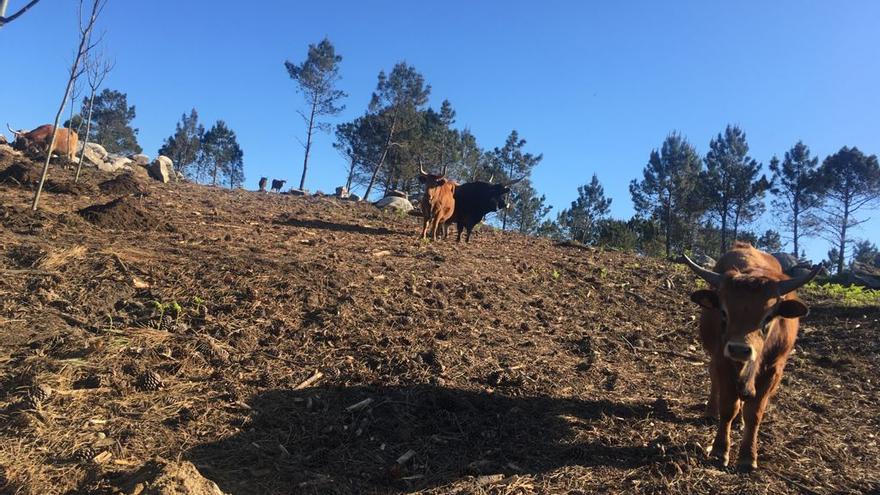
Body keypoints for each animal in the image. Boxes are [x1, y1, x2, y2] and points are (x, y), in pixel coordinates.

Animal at [684, 244, 820, 472]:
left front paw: (748, 456)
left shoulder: (773, 370)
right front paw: (720, 450)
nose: (739, 349)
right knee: (715, 381)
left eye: (769, 317)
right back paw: (711, 411)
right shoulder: (723, 360)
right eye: (724, 312)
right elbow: (728, 407)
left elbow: (754, 412)